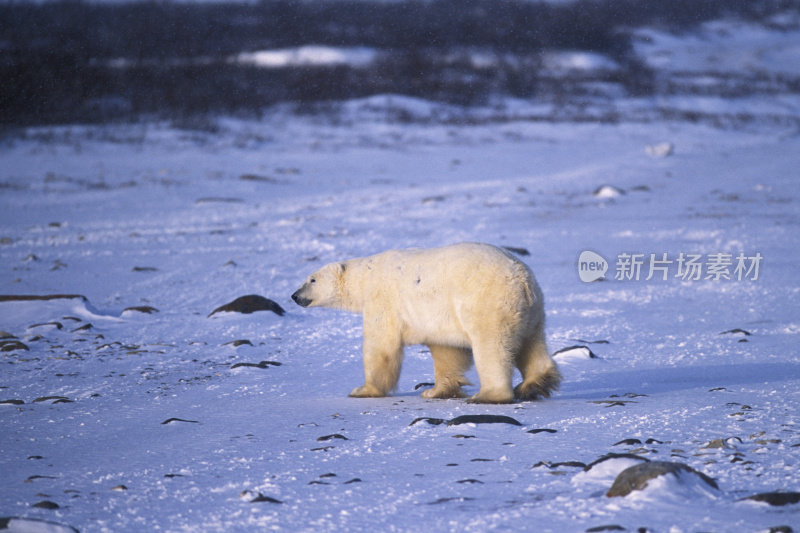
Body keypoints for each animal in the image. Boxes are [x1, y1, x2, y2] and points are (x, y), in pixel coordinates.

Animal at [290, 242, 560, 404]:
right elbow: (447, 351)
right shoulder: (440, 317)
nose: (294, 295)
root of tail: (521, 278)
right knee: (532, 342)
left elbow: (381, 347)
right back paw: (535, 383)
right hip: (532, 309)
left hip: (487, 303)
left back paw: (487, 395)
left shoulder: (383, 300)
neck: (365, 276)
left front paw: (363, 390)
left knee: (491, 346)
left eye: (311, 279)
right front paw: (435, 391)